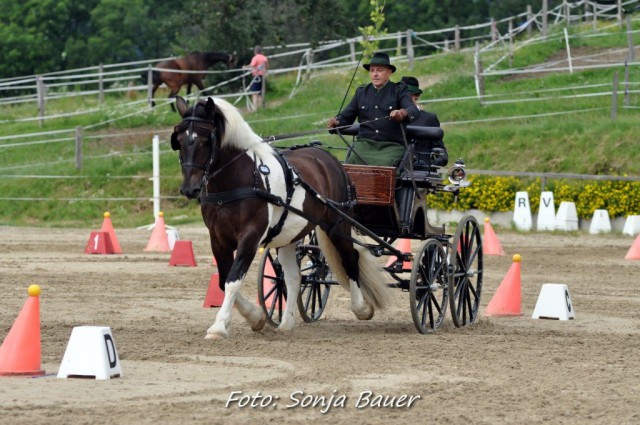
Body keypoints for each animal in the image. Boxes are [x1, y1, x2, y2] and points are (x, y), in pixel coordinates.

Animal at [170, 96, 390, 338]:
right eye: (179, 140)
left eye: (205, 140)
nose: (189, 189)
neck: (241, 179)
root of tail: (330, 159)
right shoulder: (218, 239)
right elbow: (223, 280)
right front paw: (256, 317)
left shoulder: (251, 236)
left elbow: (233, 280)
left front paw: (219, 326)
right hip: (288, 236)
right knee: (294, 277)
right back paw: (286, 323)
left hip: (338, 225)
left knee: (351, 260)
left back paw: (361, 308)